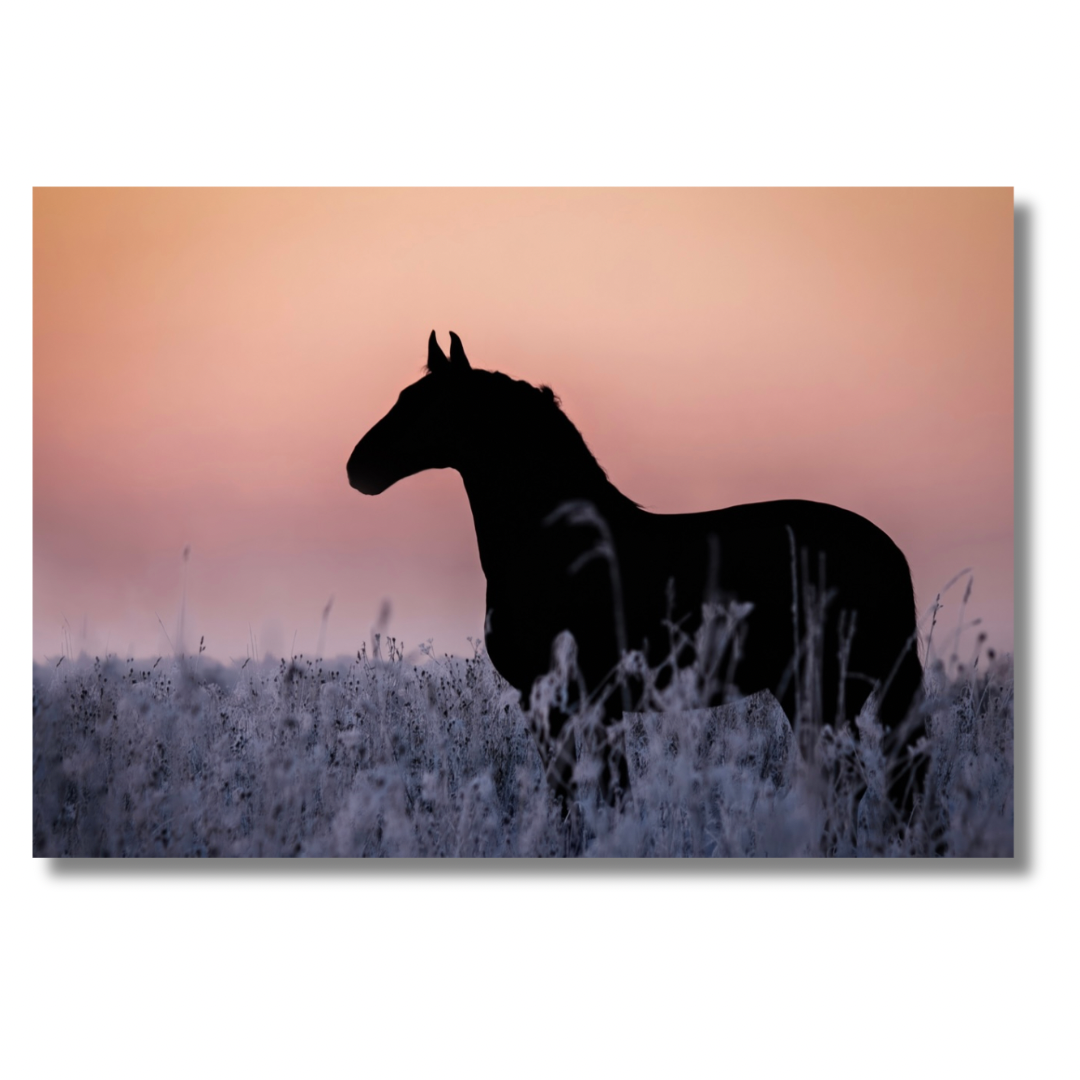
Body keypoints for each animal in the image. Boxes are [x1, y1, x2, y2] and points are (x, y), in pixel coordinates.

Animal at [347, 331, 925, 818]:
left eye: (427, 405)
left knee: (849, 784)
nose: (358, 468)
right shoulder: (591, 707)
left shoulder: (557, 701)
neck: (556, 547)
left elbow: (579, 798)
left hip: (823, 691)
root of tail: (889, 553)